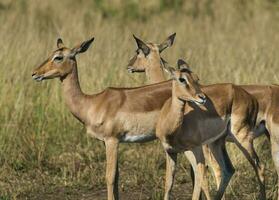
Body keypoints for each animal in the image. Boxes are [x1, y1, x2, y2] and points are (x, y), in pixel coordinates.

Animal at [127, 35, 266, 199]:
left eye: (138, 51)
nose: (129, 66)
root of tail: (252, 99)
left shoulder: (194, 150)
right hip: (218, 144)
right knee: (228, 170)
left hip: (240, 139)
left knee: (256, 166)